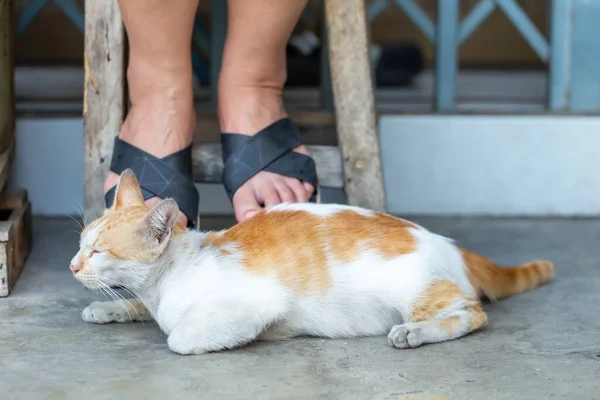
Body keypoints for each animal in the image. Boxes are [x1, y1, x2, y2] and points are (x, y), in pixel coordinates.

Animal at [71, 169, 556, 356]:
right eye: (80, 243)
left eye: (99, 251)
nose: (73, 266)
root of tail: (448, 242)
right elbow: (135, 304)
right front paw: (109, 307)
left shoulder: (257, 305)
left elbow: (178, 337)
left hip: (418, 291)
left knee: (472, 313)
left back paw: (414, 332)